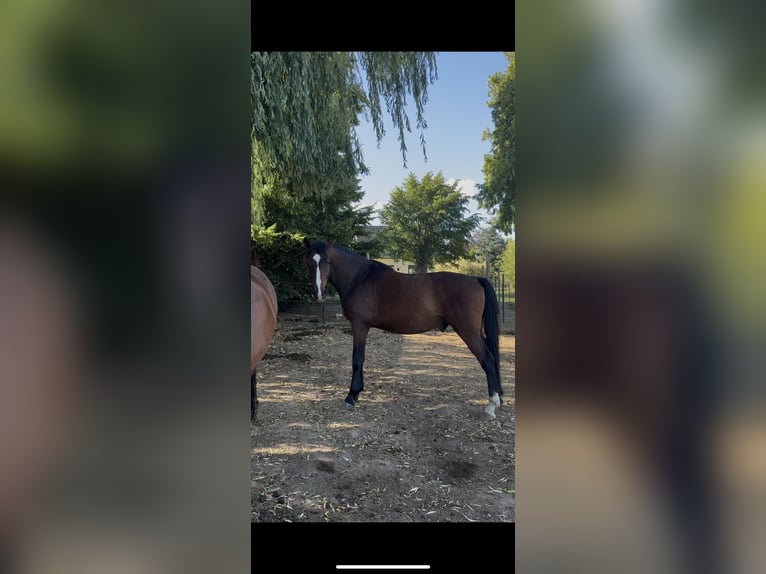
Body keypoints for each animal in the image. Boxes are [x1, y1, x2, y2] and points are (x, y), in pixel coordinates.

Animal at [303, 238, 504, 418]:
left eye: (327, 261)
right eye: (309, 262)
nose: (319, 293)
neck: (360, 278)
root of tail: (476, 280)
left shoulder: (359, 325)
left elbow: (357, 359)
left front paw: (351, 396)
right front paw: (358, 391)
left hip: (469, 332)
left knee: (487, 359)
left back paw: (491, 405)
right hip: (476, 332)